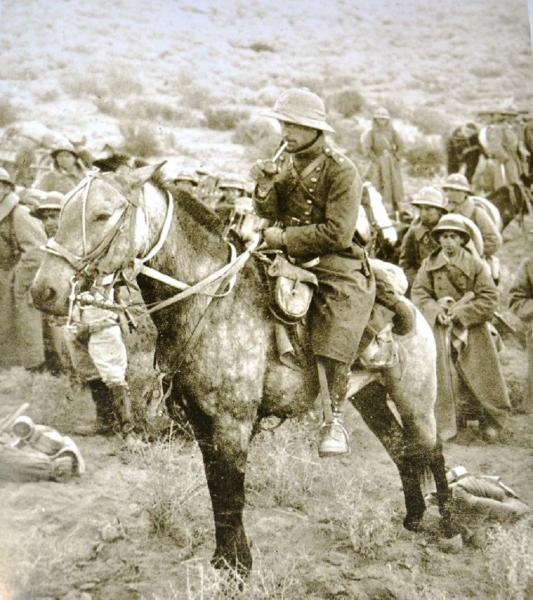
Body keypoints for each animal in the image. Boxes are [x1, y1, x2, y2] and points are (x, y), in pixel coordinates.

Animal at [31, 165, 452, 578]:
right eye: (62, 212)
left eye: (102, 215)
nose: (44, 291)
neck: (210, 300)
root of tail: (406, 299)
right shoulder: (201, 420)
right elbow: (216, 486)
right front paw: (222, 561)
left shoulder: (232, 421)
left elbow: (232, 489)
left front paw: (238, 568)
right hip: (368, 395)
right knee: (400, 448)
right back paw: (414, 518)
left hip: (415, 398)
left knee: (431, 449)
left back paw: (450, 527)